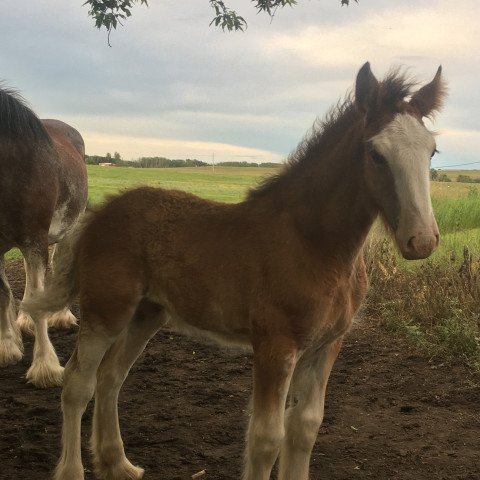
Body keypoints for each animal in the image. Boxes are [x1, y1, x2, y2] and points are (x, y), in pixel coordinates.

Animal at [26, 63, 446, 480]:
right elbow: (266, 438)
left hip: (147, 314)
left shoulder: (326, 346)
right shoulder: (275, 345)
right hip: (106, 311)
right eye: (376, 154)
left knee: (111, 377)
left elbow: (305, 427)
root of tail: (101, 212)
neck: (314, 244)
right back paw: (73, 469)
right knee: (78, 382)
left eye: (431, 151)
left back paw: (117, 463)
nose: (422, 240)